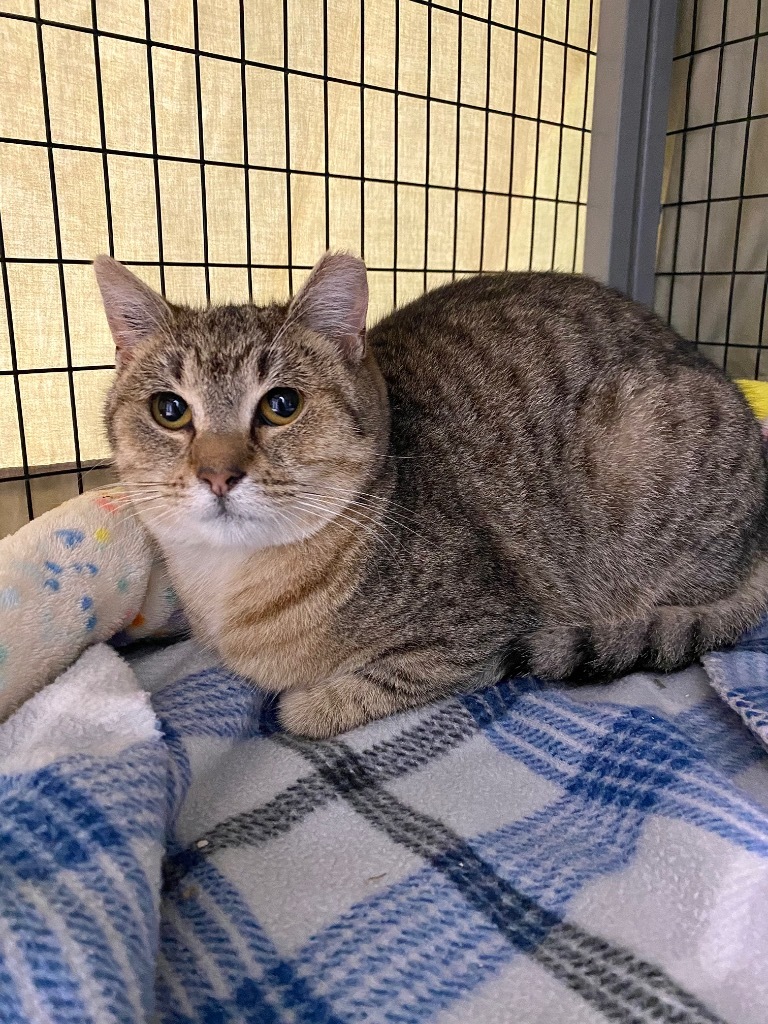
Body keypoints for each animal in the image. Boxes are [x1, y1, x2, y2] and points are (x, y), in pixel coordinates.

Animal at [94, 254, 768, 737]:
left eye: (282, 404)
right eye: (170, 410)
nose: (217, 474)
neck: (231, 585)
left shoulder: (478, 628)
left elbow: (367, 687)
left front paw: (309, 705)